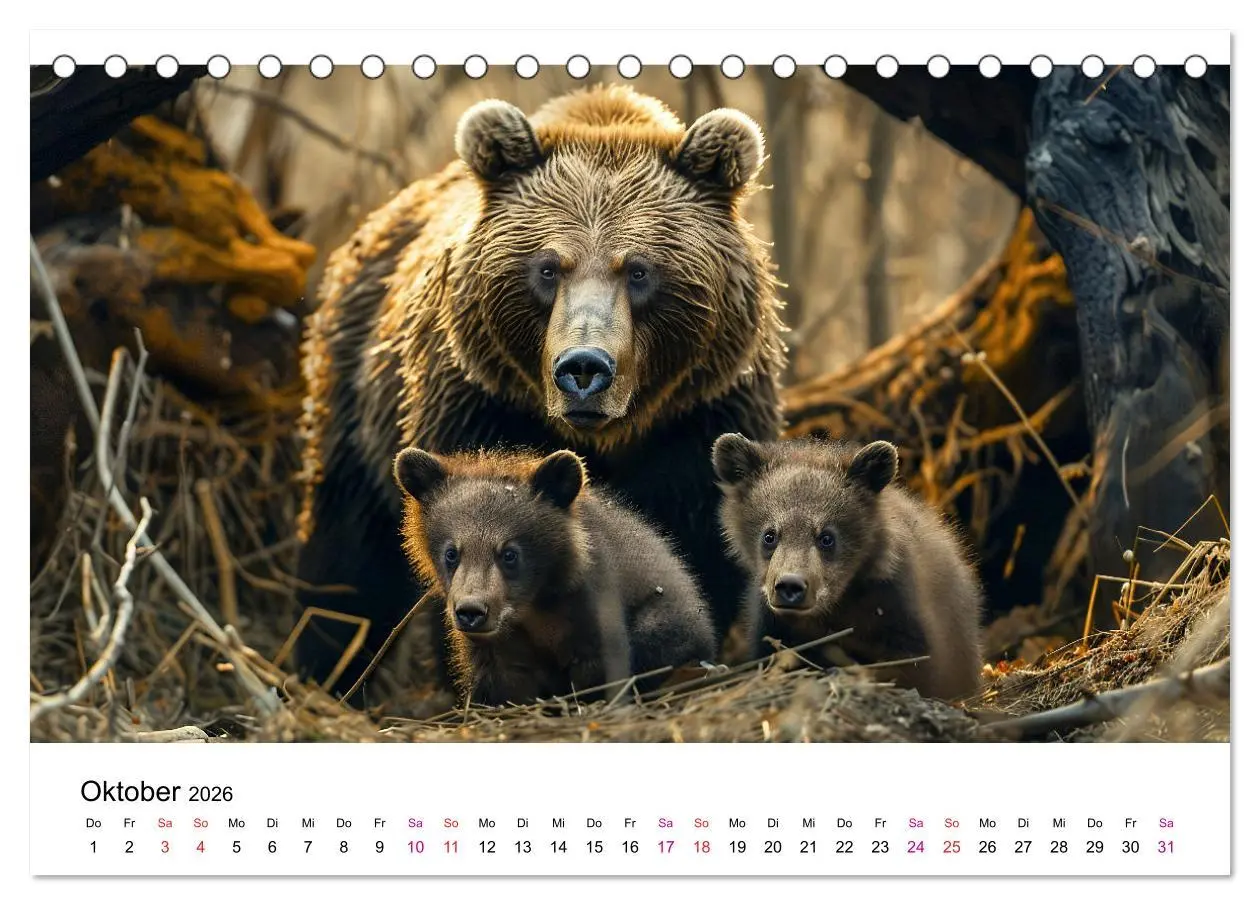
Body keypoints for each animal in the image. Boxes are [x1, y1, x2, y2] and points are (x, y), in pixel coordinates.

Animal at [392, 446, 717, 705]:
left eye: (509, 554)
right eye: (451, 553)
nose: (471, 612)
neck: (533, 608)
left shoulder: (590, 614)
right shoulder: (502, 649)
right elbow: (502, 687)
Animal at [711, 433, 983, 700]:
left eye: (826, 537)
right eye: (769, 535)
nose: (790, 586)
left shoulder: (897, 610)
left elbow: (913, 663)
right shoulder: (774, 625)